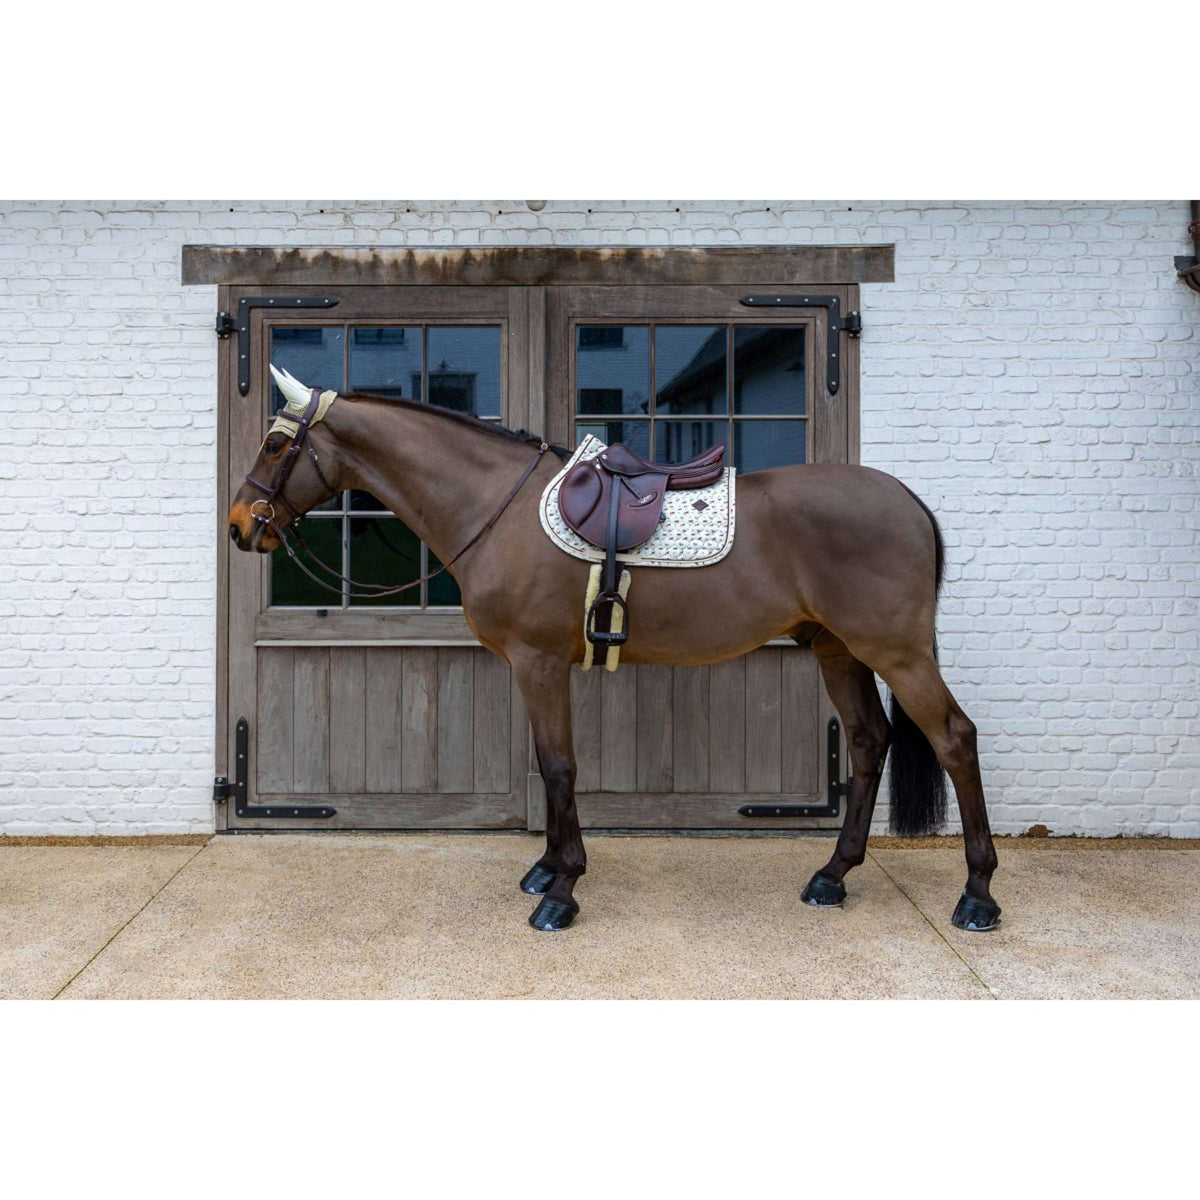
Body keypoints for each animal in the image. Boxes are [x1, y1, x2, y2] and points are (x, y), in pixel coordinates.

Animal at [227, 367, 1000, 934]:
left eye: (275, 445)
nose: (240, 525)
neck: (498, 507)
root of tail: (907, 500)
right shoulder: (532, 669)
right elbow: (548, 766)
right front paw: (545, 869)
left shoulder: (539, 662)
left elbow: (560, 767)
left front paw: (561, 890)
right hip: (838, 649)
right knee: (869, 741)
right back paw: (832, 877)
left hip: (896, 652)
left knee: (955, 739)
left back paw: (977, 895)